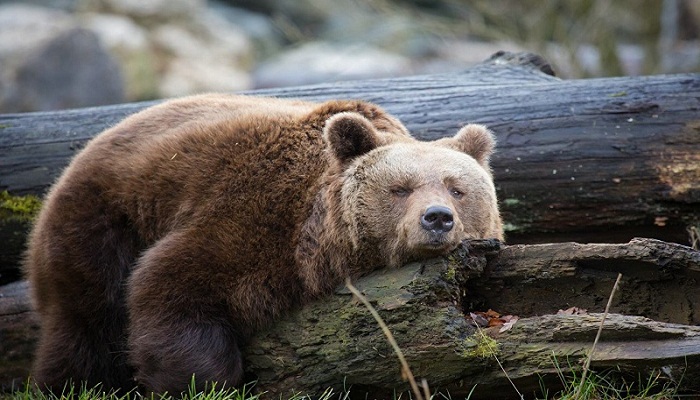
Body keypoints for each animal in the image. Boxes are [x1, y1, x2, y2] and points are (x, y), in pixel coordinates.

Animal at [24, 93, 503, 395]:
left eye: (457, 188)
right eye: (400, 188)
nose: (437, 218)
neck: (317, 239)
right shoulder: (250, 216)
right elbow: (171, 285)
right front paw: (199, 381)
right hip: (102, 219)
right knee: (85, 322)